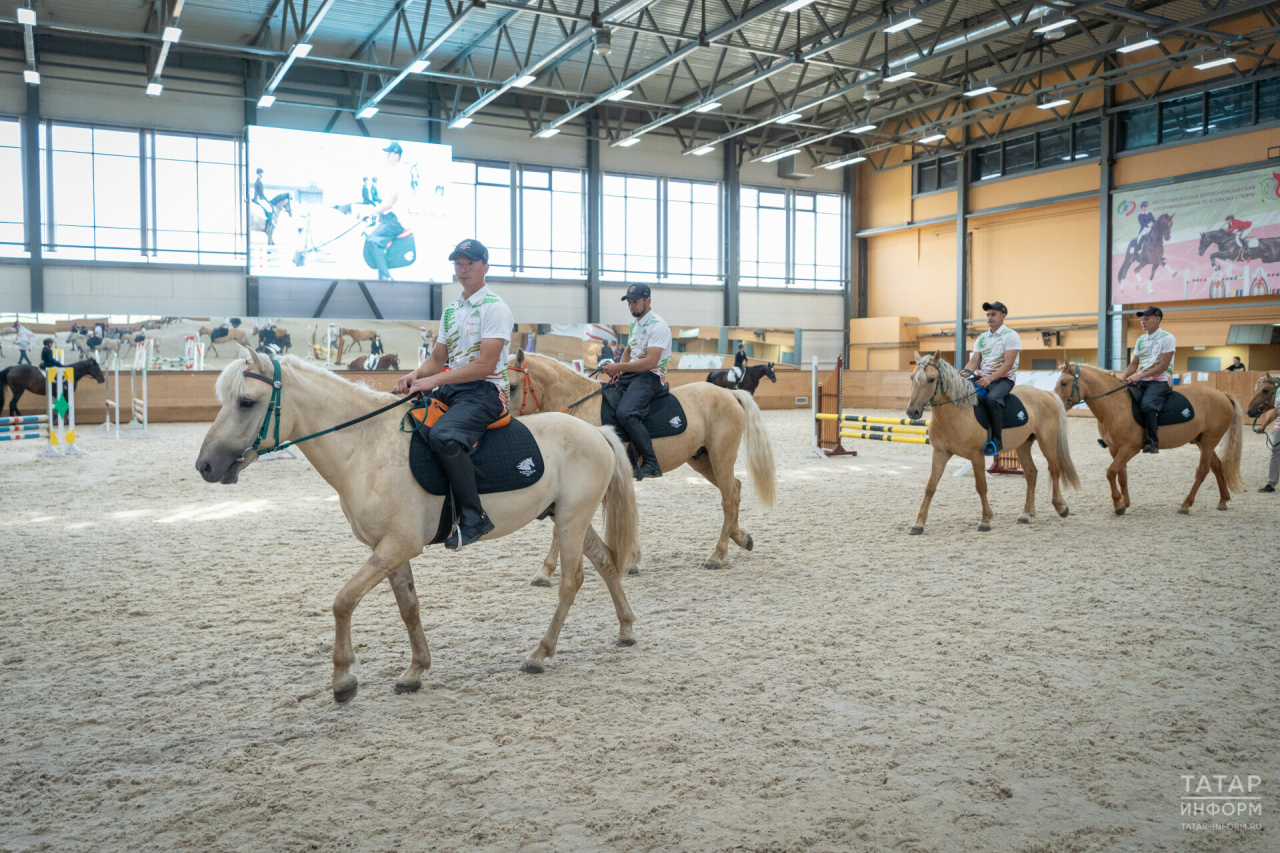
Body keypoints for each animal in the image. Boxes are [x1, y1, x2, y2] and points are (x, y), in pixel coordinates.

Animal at [194, 343, 640, 701]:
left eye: (246, 402)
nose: (205, 466)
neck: (365, 448)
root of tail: (597, 432)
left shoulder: (397, 545)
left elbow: (343, 601)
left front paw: (343, 680)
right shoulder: (389, 549)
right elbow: (408, 607)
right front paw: (415, 671)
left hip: (570, 520)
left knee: (572, 581)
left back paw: (540, 653)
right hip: (568, 517)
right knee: (605, 561)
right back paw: (626, 629)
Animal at [504, 348, 773, 573]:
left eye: (513, 387)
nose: (507, 423)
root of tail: (730, 394)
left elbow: (560, 528)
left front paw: (545, 571)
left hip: (721, 457)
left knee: (728, 499)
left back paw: (717, 555)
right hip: (703, 461)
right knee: (735, 490)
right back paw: (742, 538)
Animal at [901, 350, 1080, 532]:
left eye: (931, 379)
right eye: (911, 377)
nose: (912, 412)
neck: (957, 413)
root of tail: (1046, 393)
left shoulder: (976, 456)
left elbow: (981, 486)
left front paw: (985, 520)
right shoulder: (940, 453)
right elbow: (930, 486)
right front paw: (918, 523)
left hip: (1046, 440)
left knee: (1054, 468)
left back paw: (1061, 508)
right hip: (1023, 445)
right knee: (1031, 473)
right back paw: (1026, 514)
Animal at [1054, 361, 1244, 512]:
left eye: (1063, 383)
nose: (1056, 404)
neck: (1115, 405)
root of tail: (1223, 395)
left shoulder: (1129, 448)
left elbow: (1111, 472)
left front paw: (1118, 505)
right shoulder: (1115, 449)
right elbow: (1121, 475)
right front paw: (1125, 502)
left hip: (1209, 441)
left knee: (1203, 470)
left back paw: (1186, 505)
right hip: (1203, 442)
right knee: (1217, 466)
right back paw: (1223, 500)